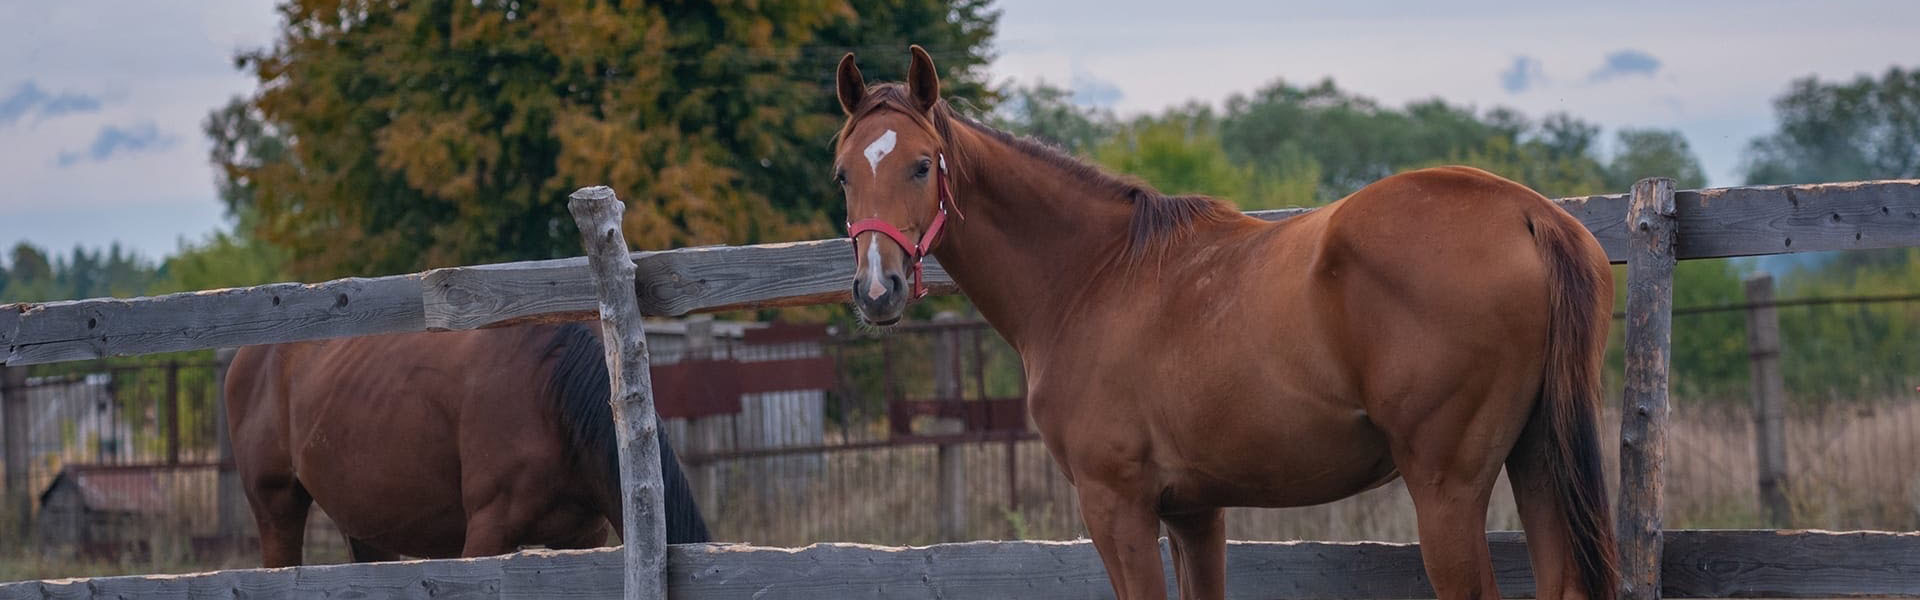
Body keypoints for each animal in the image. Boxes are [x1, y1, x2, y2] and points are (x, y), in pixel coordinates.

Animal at [837, 46, 1620, 600]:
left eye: (921, 165)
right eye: (845, 172)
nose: (878, 290)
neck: (1094, 275)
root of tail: (1529, 214)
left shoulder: (1116, 505)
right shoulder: (1195, 513)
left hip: (1447, 488)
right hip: (1536, 456)